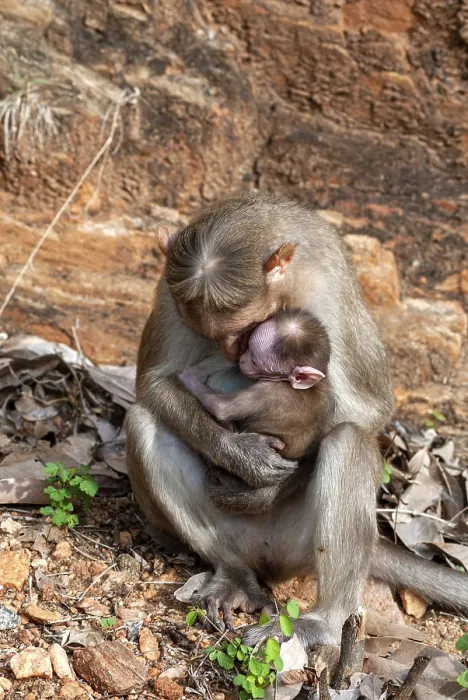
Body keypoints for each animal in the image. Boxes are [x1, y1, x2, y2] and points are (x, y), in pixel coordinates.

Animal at [178, 308, 333, 514]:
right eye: (248, 348)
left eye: (253, 360)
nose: (242, 360)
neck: (291, 384)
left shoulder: (265, 392)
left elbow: (221, 408)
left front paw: (190, 377)